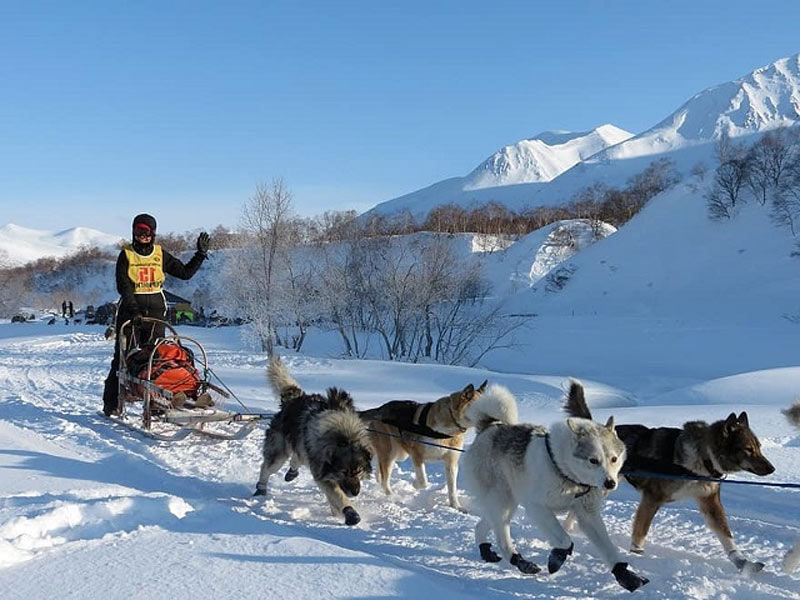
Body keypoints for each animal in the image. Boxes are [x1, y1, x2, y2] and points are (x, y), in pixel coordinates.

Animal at [253, 356, 372, 524]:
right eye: (343, 472)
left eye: (359, 470)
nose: (355, 492)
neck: (343, 435)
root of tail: (293, 400)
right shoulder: (323, 475)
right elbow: (339, 496)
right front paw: (350, 513)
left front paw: (338, 512)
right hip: (279, 454)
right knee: (267, 467)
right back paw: (261, 488)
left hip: (301, 447)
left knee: (297, 457)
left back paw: (292, 472)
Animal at [462, 382, 648, 592]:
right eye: (593, 460)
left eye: (614, 459)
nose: (610, 483)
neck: (565, 472)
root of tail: (489, 427)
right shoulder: (537, 507)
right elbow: (565, 540)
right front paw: (557, 557)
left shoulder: (588, 514)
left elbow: (609, 549)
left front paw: (625, 574)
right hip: (503, 501)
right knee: (502, 538)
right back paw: (520, 561)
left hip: (505, 504)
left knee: (482, 525)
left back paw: (486, 551)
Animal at [564, 390, 776, 572]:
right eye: (748, 449)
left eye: (759, 447)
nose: (772, 468)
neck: (701, 458)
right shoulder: (651, 499)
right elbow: (640, 534)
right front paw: (637, 558)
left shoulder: (710, 502)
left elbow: (726, 535)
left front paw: (743, 563)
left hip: (604, 487)